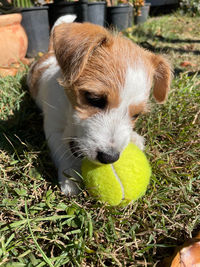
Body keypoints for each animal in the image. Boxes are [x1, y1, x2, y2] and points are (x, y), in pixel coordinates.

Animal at [27, 15, 172, 197]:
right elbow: (63, 150)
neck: (68, 109)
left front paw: (134, 137)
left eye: (136, 115)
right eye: (94, 99)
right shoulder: (53, 129)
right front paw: (70, 177)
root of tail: (50, 53)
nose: (109, 158)